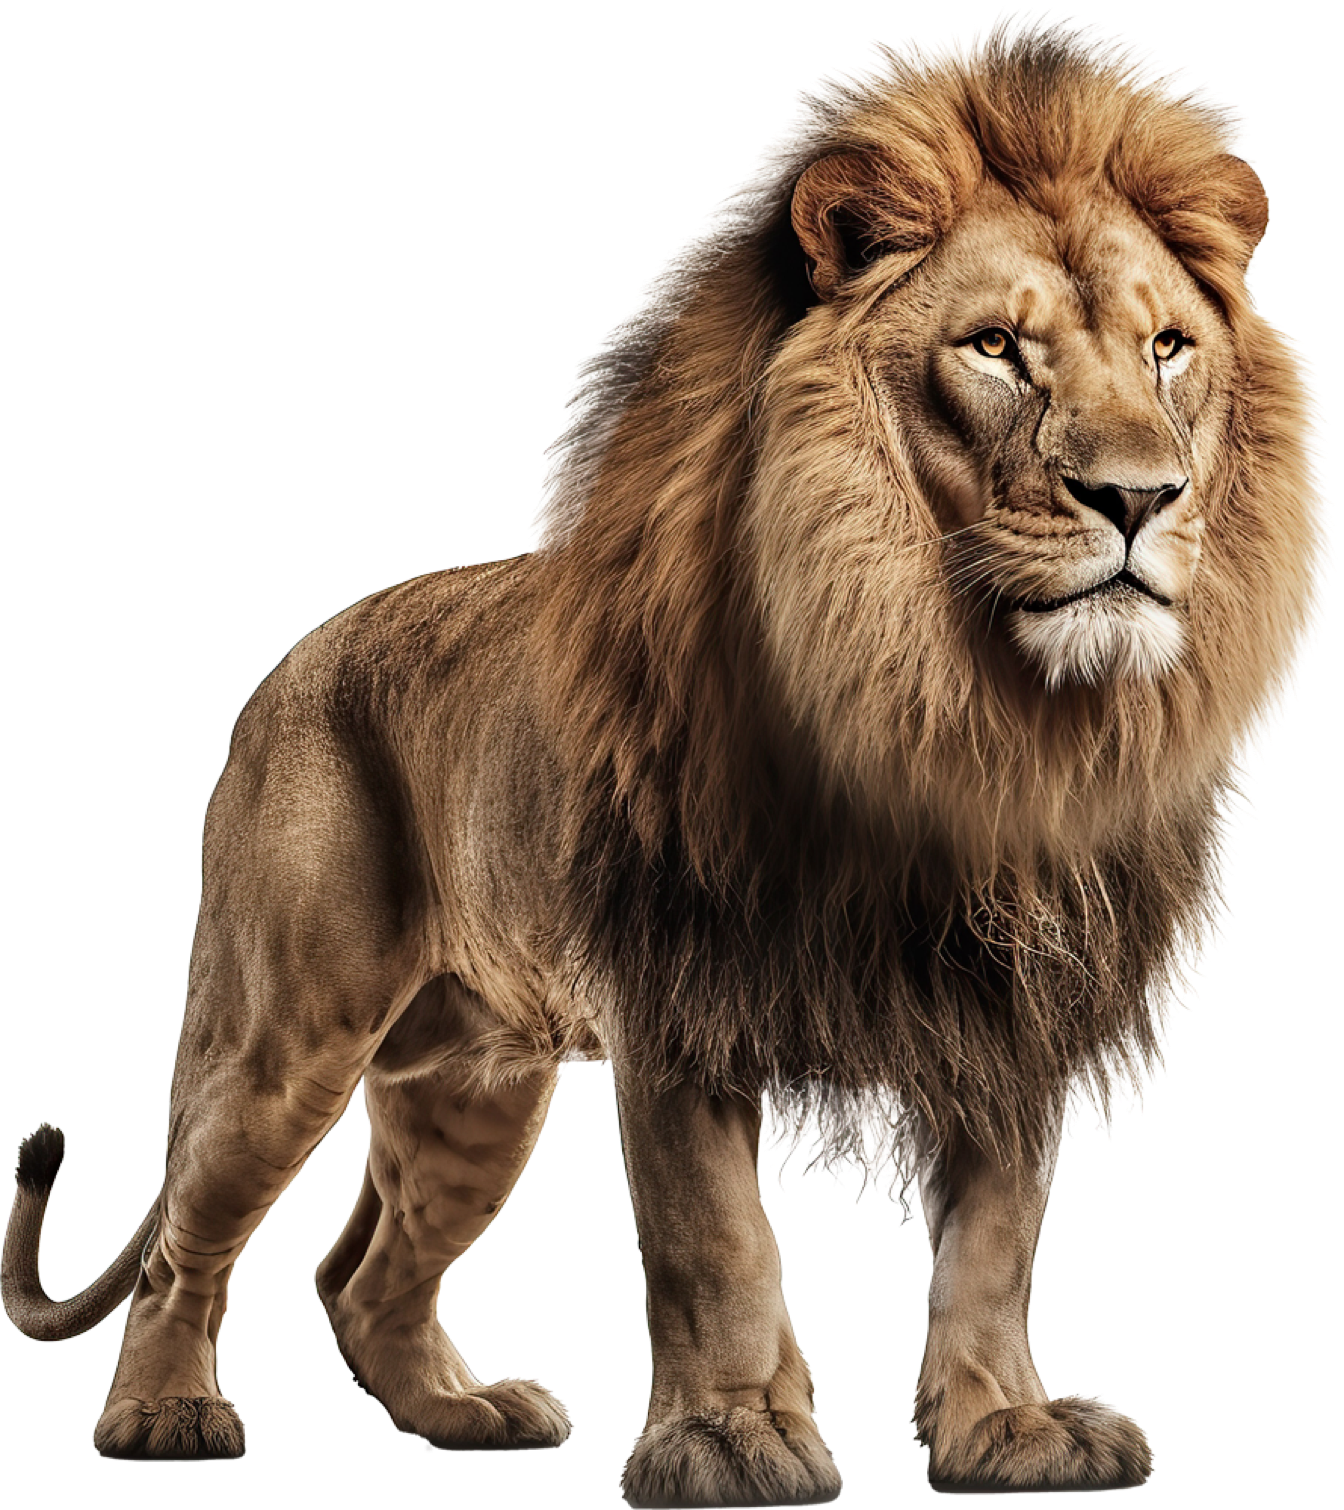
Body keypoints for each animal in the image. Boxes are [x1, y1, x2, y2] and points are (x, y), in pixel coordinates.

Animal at [2, 7, 1335, 1500]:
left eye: (1168, 348)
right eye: (996, 347)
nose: (1140, 495)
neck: (954, 702)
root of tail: (290, 661)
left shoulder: (1011, 996)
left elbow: (998, 1241)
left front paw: (1008, 1427)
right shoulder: (685, 981)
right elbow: (715, 1240)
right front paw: (734, 1435)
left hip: (473, 1080)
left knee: (360, 1273)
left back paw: (464, 1411)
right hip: (284, 1030)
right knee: (190, 1241)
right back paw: (165, 1415)